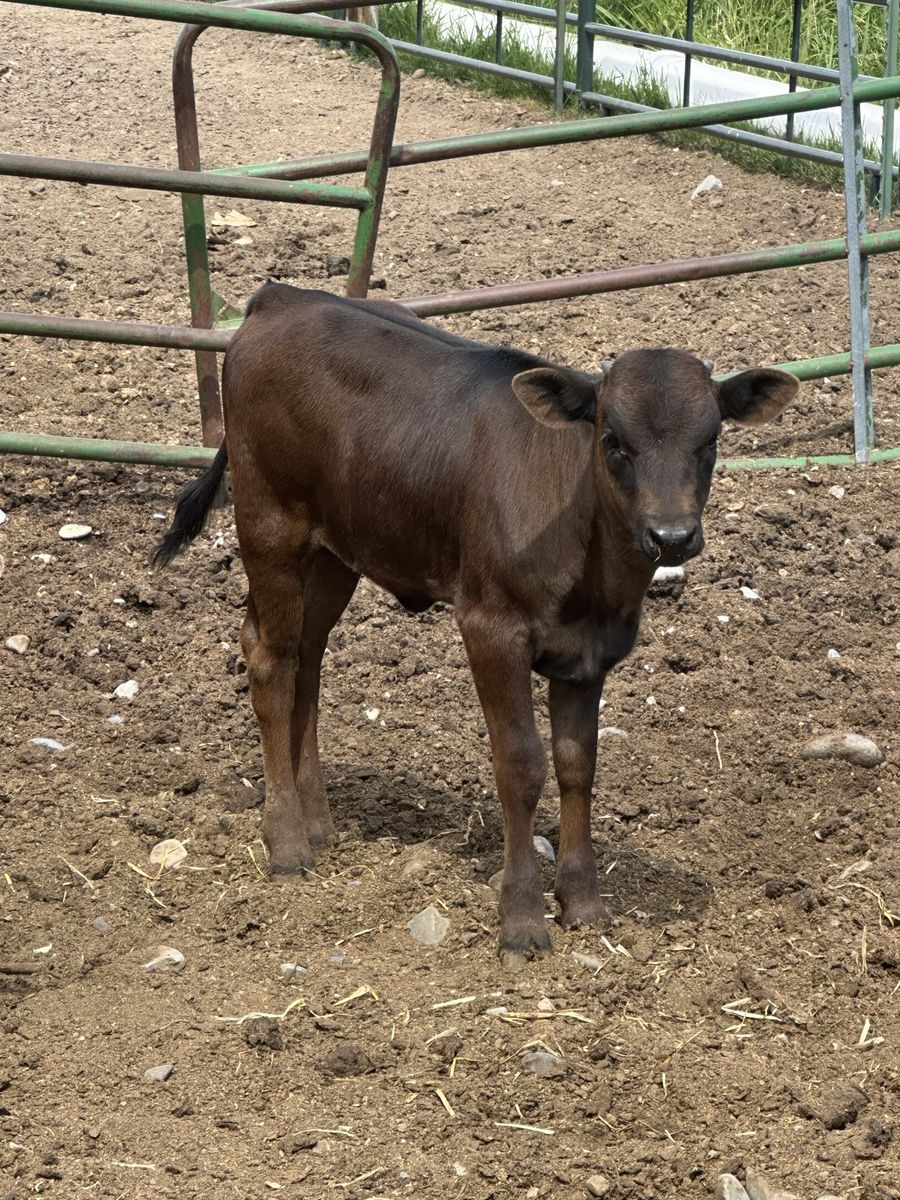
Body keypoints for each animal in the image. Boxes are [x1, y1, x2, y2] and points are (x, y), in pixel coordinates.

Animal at [154, 283, 797, 967]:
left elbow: (577, 764)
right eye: (613, 440)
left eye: (711, 440)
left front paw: (583, 903)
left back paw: (319, 822)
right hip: (268, 524)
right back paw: (287, 842)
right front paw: (522, 918)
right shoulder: (490, 628)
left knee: (307, 655)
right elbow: (521, 764)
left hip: (337, 551)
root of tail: (281, 297)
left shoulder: (590, 653)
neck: (594, 576)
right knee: (271, 660)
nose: (671, 535)